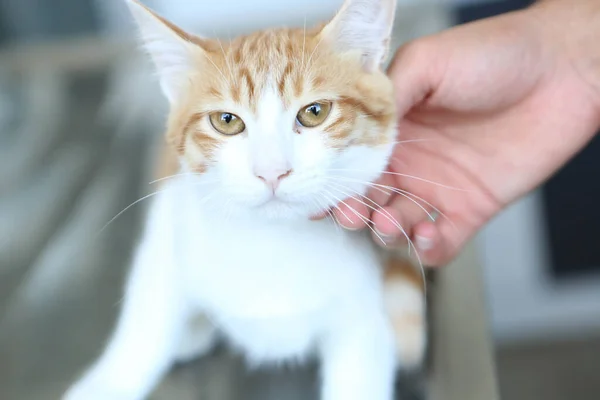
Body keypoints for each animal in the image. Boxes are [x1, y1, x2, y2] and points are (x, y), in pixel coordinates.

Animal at [62, 0, 426, 400]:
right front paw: (108, 380)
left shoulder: (364, 318)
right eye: (226, 121)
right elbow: (145, 319)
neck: (269, 244)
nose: (272, 172)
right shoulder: (166, 223)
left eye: (314, 112)